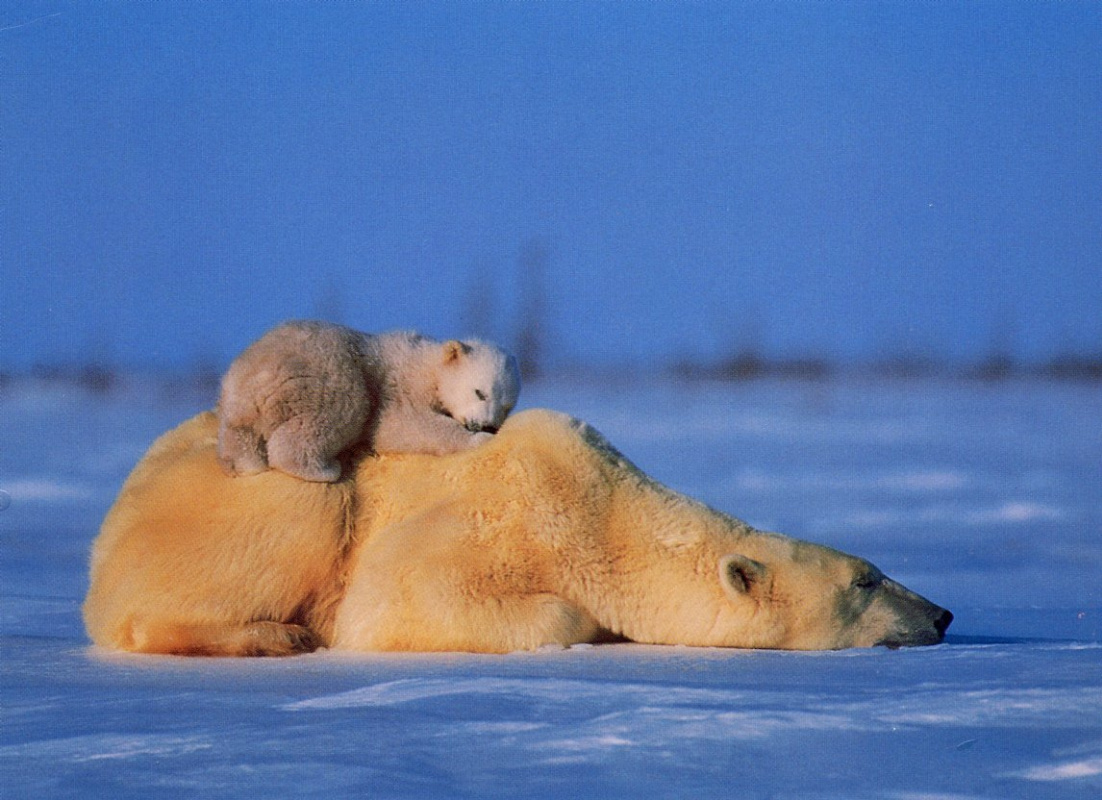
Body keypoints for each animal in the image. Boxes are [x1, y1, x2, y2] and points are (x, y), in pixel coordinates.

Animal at [81, 407, 952, 656]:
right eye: (868, 578)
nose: (943, 613)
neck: (605, 512)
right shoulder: (500, 517)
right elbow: (397, 599)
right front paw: (593, 627)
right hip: (239, 497)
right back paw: (271, 636)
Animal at [220, 321, 524, 482]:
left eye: (506, 406)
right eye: (480, 392)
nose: (485, 425)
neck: (427, 367)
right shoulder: (398, 388)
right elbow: (404, 426)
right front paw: (478, 440)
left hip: (239, 406)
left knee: (240, 437)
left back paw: (246, 464)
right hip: (326, 373)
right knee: (341, 410)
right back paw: (324, 470)